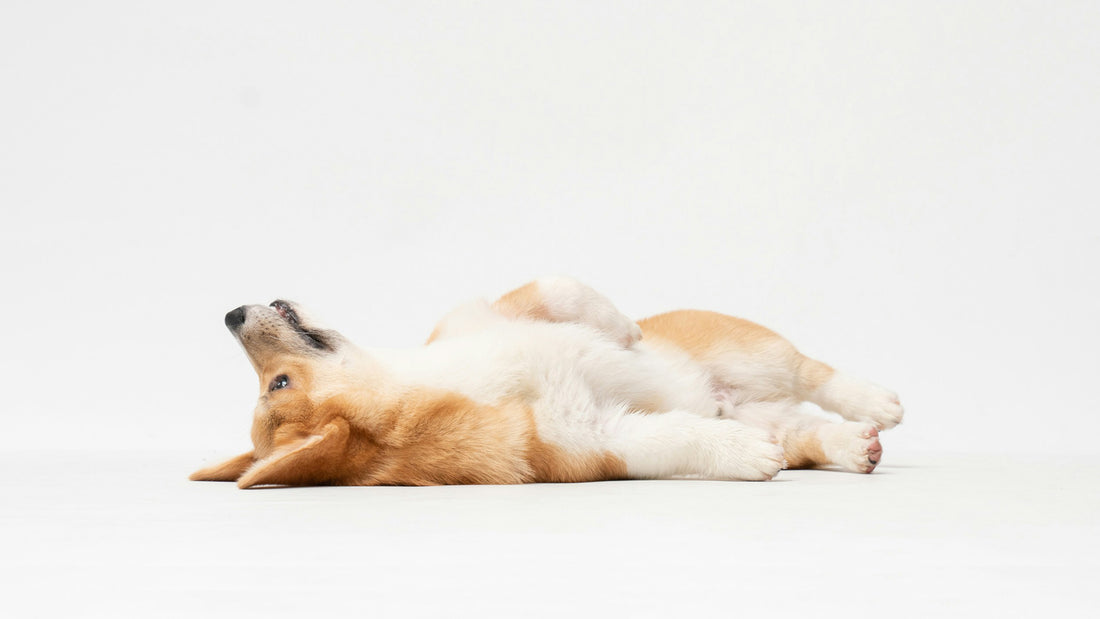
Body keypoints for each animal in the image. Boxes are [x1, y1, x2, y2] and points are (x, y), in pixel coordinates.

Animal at [191, 277, 902, 490]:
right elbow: (678, 436)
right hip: (765, 397)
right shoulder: (594, 439)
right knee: (806, 427)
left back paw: (876, 402)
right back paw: (855, 441)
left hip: (750, 356)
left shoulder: (491, 315)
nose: (227, 316)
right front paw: (740, 455)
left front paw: (624, 329)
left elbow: (562, 291)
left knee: (815, 373)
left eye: (276, 382)